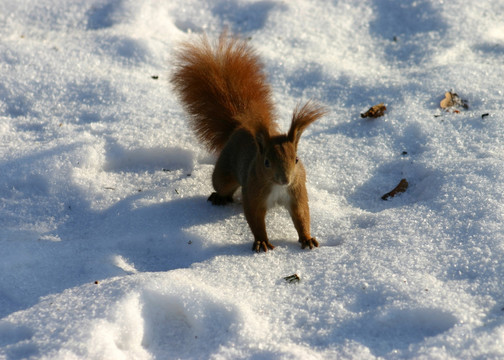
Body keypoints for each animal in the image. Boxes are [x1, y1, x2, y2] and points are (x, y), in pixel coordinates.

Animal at [171, 34, 324, 253]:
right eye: (266, 162)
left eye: (296, 159)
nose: (285, 179)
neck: (277, 187)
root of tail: (239, 127)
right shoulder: (254, 193)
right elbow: (255, 218)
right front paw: (262, 241)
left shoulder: (296, 192)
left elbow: (302, 215)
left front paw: (307, 238)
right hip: (224, 173)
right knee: (221, 185)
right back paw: (219, 197)